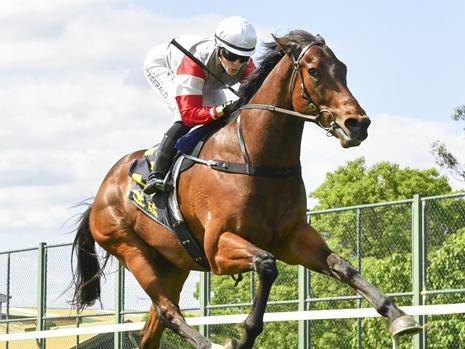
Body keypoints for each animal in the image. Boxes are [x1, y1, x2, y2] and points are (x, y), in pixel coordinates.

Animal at [71, 30, 420, 348]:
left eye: (343, 69)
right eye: (314, 71)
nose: (358, 124)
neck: (257, 159)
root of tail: (100, 194)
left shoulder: (293, 237)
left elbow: (343, 266)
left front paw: (398, 316)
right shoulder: (217, 247)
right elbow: (266, 265)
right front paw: (243, 337)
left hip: (172, 263)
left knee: (152, 328)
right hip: (130, 248)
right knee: (169, 312)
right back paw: (209, 344)